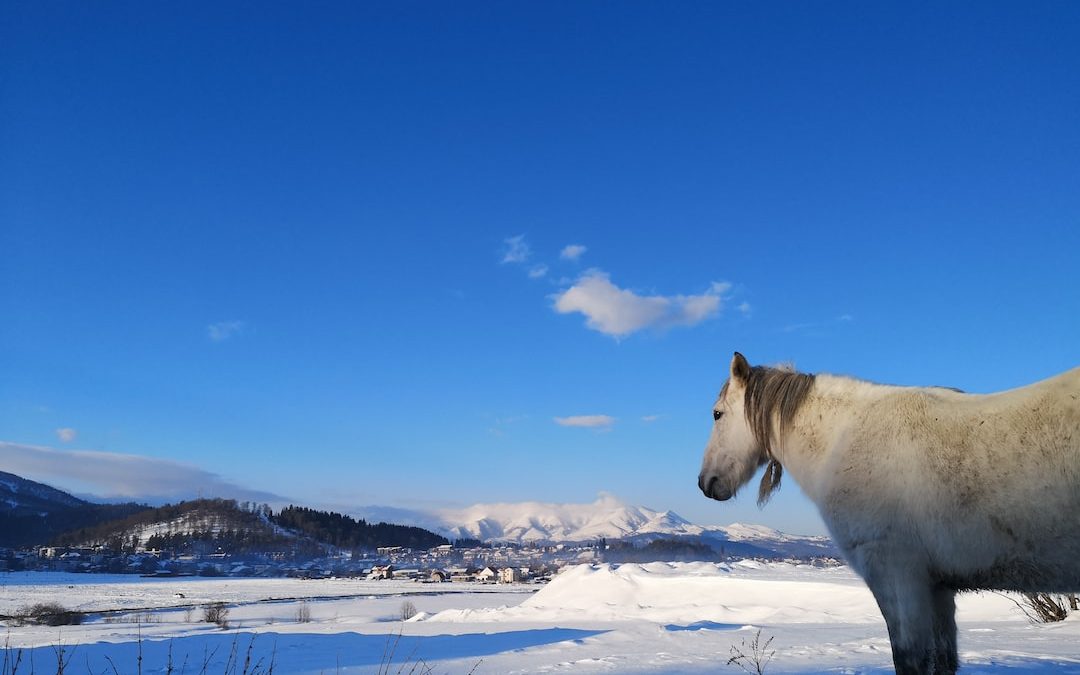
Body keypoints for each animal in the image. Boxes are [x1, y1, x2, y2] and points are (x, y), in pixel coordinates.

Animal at [699, 352, 1080, 673]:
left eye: (717, 413)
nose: (706, 482)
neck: (842, 439)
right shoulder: (937, 589)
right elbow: (943, 660)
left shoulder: (896, 575)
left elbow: (908, 659)